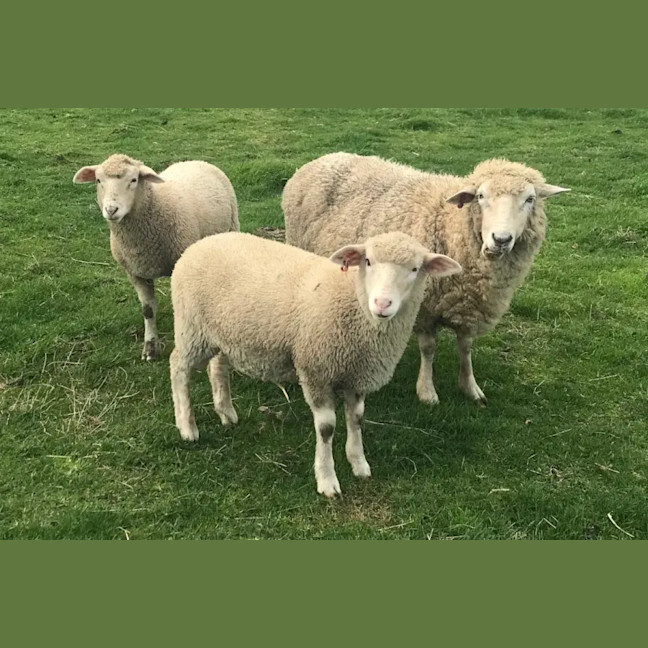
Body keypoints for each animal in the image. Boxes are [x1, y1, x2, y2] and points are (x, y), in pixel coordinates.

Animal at [73, 154, 239, 361]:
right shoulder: (135, 272)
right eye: (98, 180)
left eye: (134, 180)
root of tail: (196, 161)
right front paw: (150, 347)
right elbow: (148, 310)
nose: (111, 210)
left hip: (231, 226)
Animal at [169, 231, 461, 497]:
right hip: (191, 326)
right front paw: (327, 480)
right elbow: (326, 427)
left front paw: (359, 464)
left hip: (219, 332)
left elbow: (356, 418)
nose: (382, 303)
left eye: (415, 269)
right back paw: (187, 427)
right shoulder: (316, 370)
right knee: (178, 367)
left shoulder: (357, 375)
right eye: (367, 261)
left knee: (217, 366)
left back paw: (226, 412)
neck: (354, 304)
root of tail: (202, 242)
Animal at [282, 152, 569, 406]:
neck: (449, 225)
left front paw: (470, 387)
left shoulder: (468, 306)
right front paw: (427, 391)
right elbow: (428, 349)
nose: (501, 239)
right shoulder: (425, 307)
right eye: (480, 196)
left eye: (530, 199)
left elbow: (465, 347)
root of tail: (322, 159)